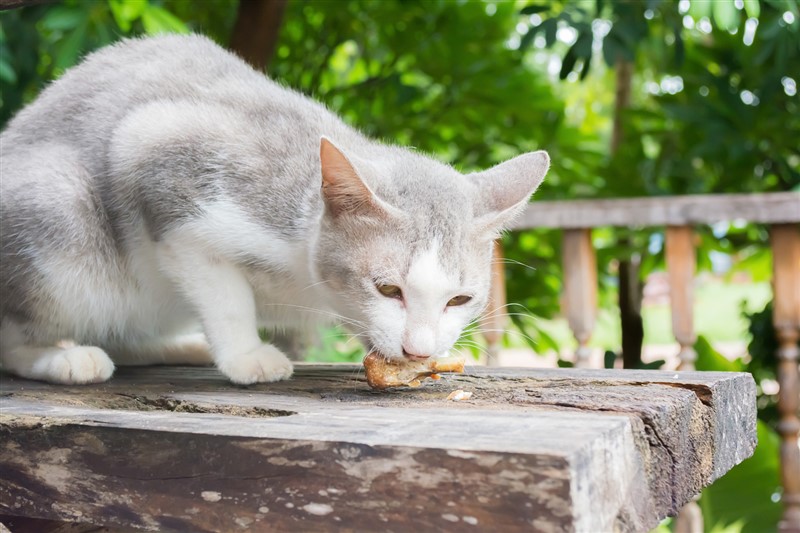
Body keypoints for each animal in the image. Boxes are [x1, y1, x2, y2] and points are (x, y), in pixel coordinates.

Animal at [0, 34, 552, 382]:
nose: (418, 349)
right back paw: (66, 359)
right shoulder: (157, 157)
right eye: (387, 289)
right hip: (59, 209)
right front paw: (247, 357)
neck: (304, 280)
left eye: (459, 299)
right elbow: (225, 293)